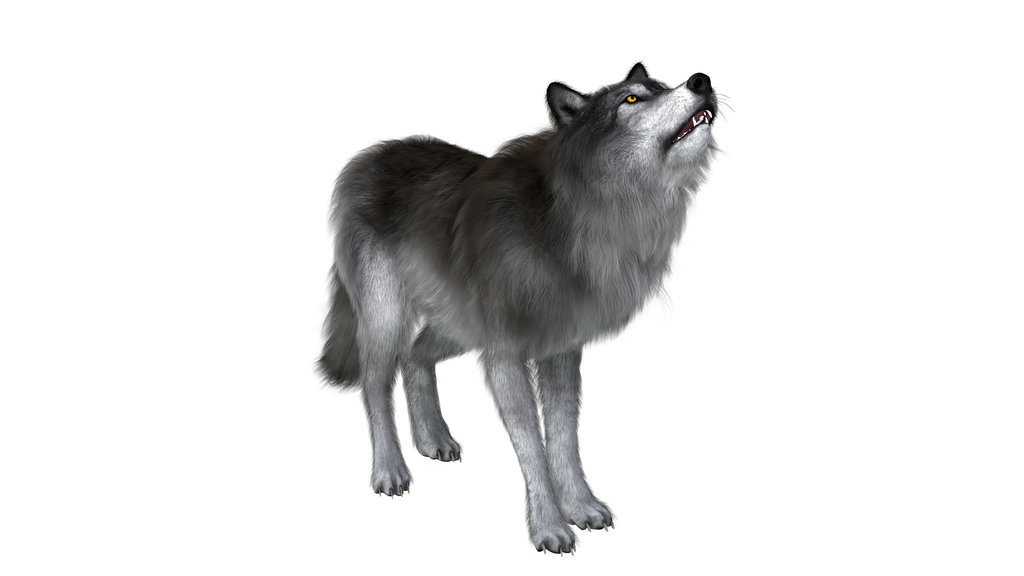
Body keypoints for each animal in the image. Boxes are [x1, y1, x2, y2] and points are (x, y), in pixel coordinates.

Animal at [319, 63, 718, 553]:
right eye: (632, 99)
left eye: (662, 87)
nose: (701, 80)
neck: (576, 219)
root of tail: (367, 159)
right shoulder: (505, 355)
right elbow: (531, 442)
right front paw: (549, 527)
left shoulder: (561, 351)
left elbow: (564, 436)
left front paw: (581, 507)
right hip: (387, 317)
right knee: (376, 382)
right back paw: (390, 469)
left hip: (457, 327)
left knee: (414, 356)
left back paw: (433, 439)